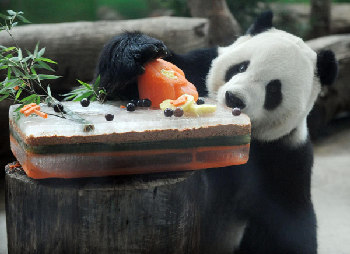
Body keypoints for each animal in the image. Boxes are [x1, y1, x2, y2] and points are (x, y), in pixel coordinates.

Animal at [95, 10, 336, 254]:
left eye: (274, 90)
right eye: (241, 67)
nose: (234, 98)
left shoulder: (285, 158)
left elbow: (289, 224)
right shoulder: (199, 66)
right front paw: (137, 54)